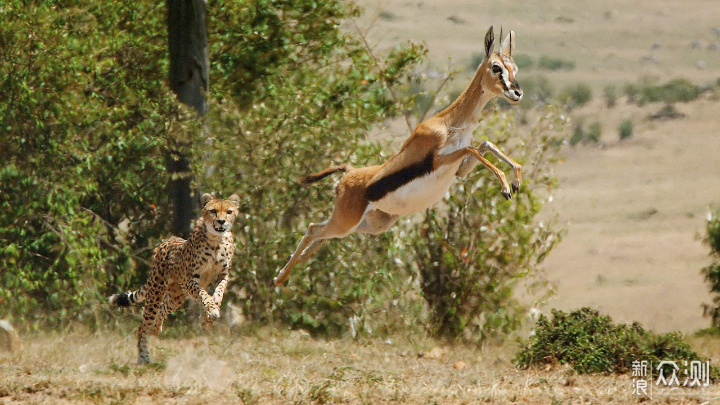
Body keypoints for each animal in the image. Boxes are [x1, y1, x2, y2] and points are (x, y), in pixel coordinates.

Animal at [108, 193, 240, 362]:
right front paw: (211, 309)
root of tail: (166, 241)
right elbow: (204, 295)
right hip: (156, 292)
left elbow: (219, 291)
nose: (221, 221)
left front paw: (212, 310)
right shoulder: (189, 279)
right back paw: (144, 357)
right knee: (143, 324)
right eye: (213, 211)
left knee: (163, 307)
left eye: (229, 211)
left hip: (176, 296)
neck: (216, 240)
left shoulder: (223, 274)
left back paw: (156, 327)